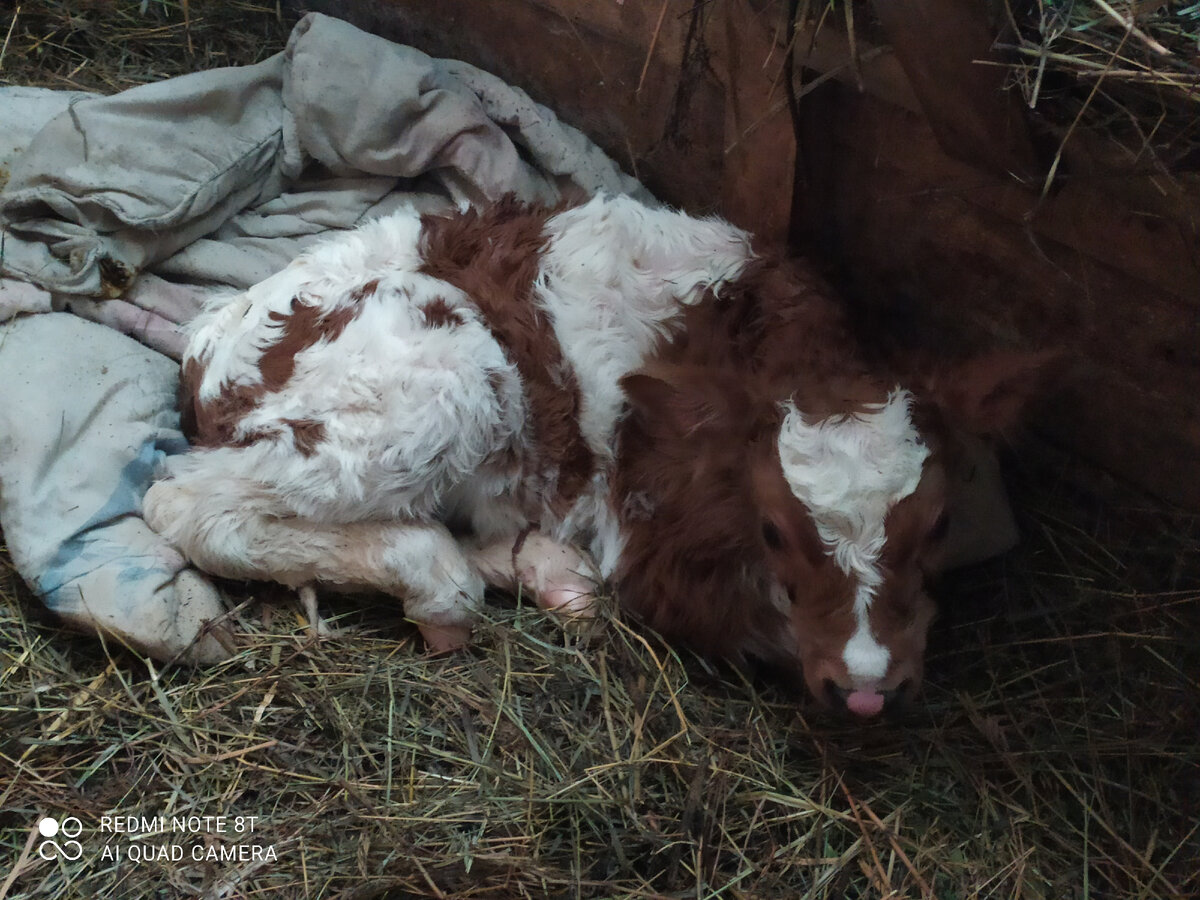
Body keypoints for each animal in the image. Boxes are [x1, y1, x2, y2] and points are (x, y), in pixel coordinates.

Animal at [142, 195, 1041, 720]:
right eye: (776, 532)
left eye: (936, 528)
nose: (865, 690)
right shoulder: (655, 539)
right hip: (435, 380)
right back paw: (440, 582)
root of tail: (209, 344)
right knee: (187, 504)